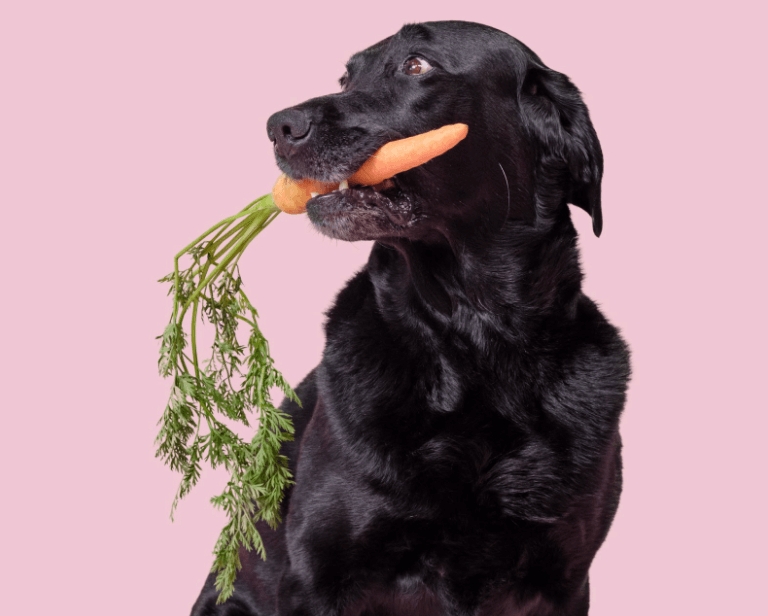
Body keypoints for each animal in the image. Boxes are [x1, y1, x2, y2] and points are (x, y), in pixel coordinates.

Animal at [190, 19, 632, 616]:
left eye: (417, 66)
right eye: (346, 77)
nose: (278, 127)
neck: (476, 343)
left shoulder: (564, 579)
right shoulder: (318, 577)